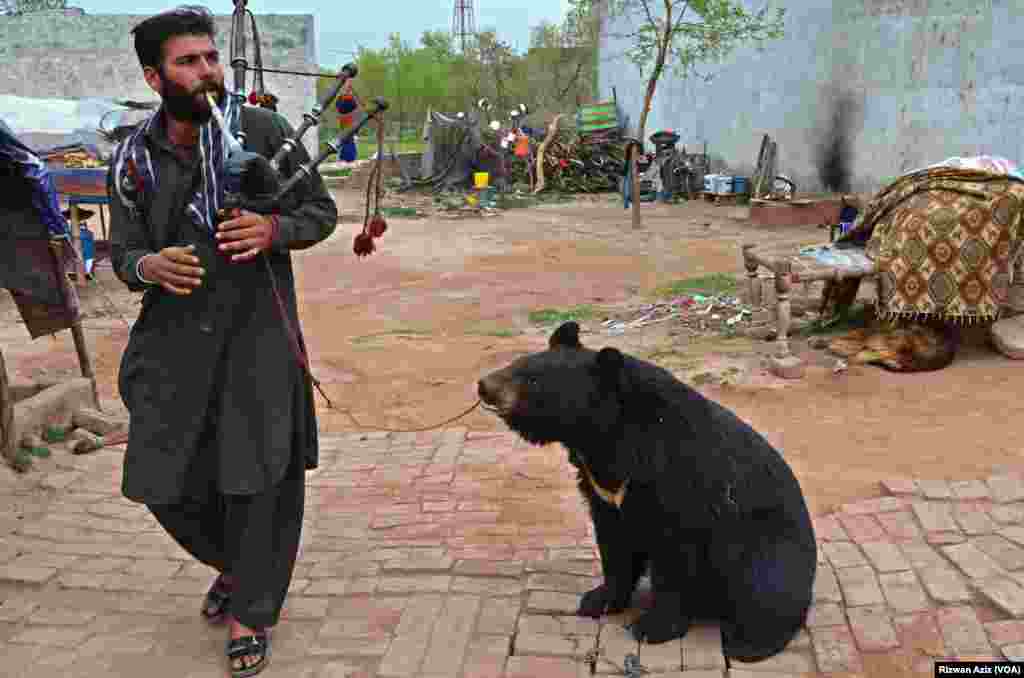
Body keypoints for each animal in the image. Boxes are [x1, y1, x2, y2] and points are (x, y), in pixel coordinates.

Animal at [477, 323, 815, 663]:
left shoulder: (676, 482)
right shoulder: (603, 492)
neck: (605, 438)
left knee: (766, 592)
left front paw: (653, 627)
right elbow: (614, 545)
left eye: (533, 379)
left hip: (769, 548)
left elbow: (675, 557)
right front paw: (598, 600)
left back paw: (748, 643)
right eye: (518, 363)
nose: (484, 385)